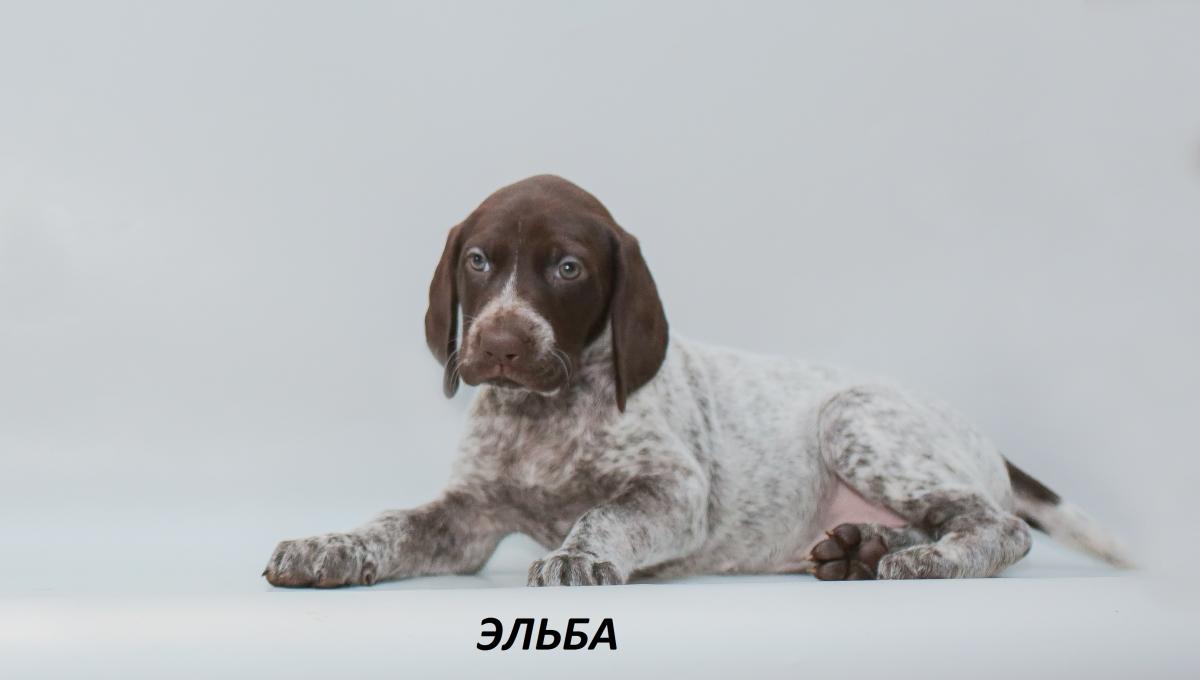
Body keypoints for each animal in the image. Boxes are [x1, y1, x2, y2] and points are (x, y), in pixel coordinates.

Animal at [263, 174, 1131, 587]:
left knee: (999, 525)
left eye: (568, 269)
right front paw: (327, 546)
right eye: (478, 260)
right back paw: (861, 547)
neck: (545, 412)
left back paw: (920, 562)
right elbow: (393, 523)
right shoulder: (468, 518)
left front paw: (579, 557)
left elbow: (604, 514)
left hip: (855, 418)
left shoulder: (674, 492)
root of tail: (979, 433)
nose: (502, 345)